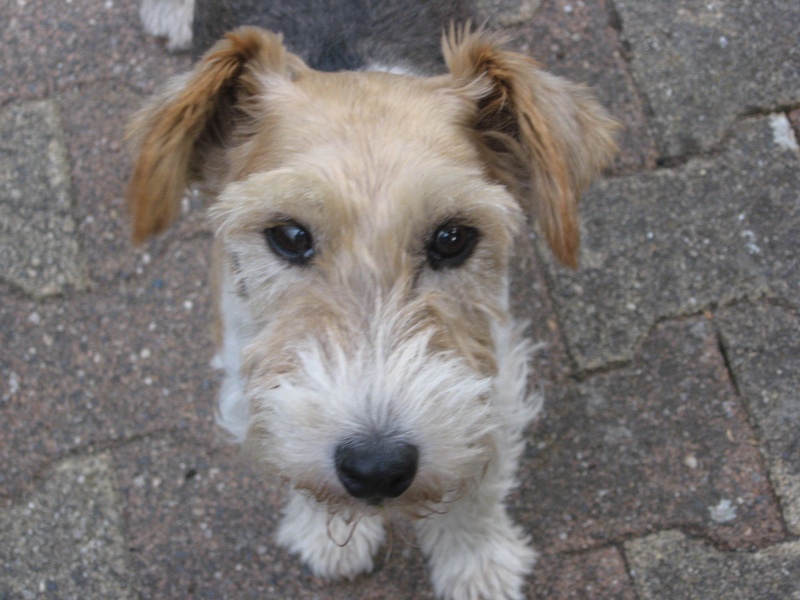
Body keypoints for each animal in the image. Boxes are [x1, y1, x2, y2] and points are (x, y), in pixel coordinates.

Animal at [131, 2, 620, 596]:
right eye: (289, 235)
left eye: (453, 238)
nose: (377, 468)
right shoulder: (247, 367)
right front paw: (322, 536)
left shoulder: (490, 373)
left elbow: (477, 485)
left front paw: (476, 565)